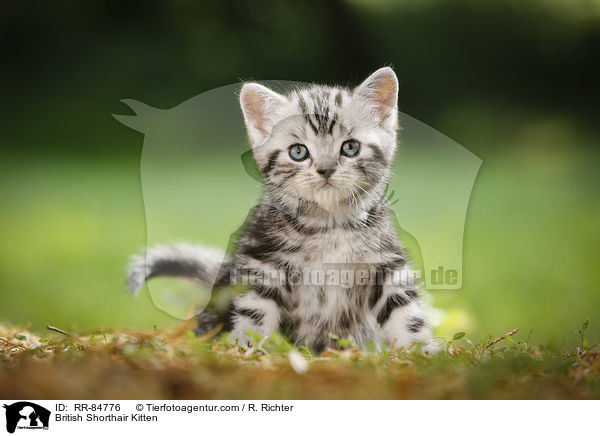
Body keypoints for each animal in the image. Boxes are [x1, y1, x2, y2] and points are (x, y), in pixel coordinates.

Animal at [127, 68, 436, 354]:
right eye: (298, 152)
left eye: (350, 147)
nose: (325, 169)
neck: (329, 224)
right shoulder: (262, 260)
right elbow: (256, 309)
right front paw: (246, 344)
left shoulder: (386, 263)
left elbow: (404, 309)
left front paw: (422, 348)